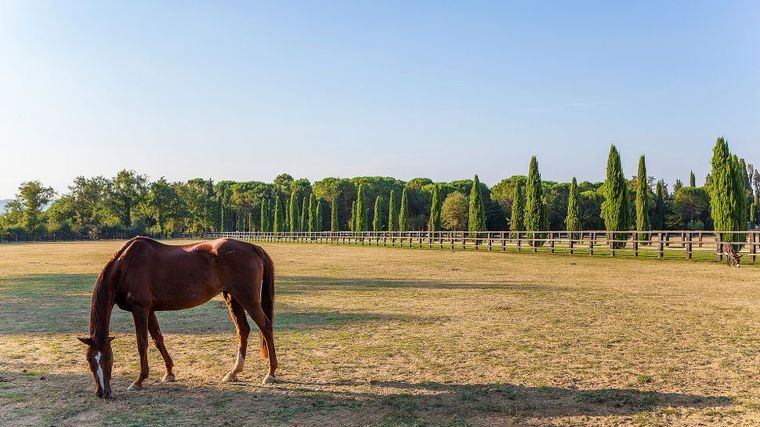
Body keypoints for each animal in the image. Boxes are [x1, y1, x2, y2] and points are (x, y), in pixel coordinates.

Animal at [77, 237, 278, 398]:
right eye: (89, 359)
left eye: (108, 357)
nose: (102, 393)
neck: (126, 266)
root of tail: (251, 246)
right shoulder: (150, 310)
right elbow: (158, 339)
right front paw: (169, 372)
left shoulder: (140, 309)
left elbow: (142, 344)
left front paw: (139, 380)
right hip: (233, 298)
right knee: (243, 330)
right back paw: (234, 372)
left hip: (248, 299)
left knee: (266, 327)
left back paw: (270, 373)